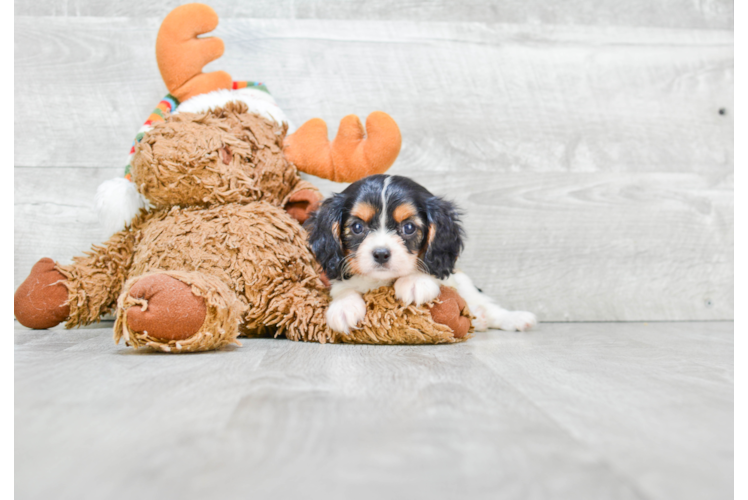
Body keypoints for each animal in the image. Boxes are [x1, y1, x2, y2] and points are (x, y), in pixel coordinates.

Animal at [304, 174, 536, 334]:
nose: (381, 254)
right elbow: (343, 288)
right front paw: (343, 307)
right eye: (357, 227)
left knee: (485, 303)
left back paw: (513, 318)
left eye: (408, 228)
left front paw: (414, 281)